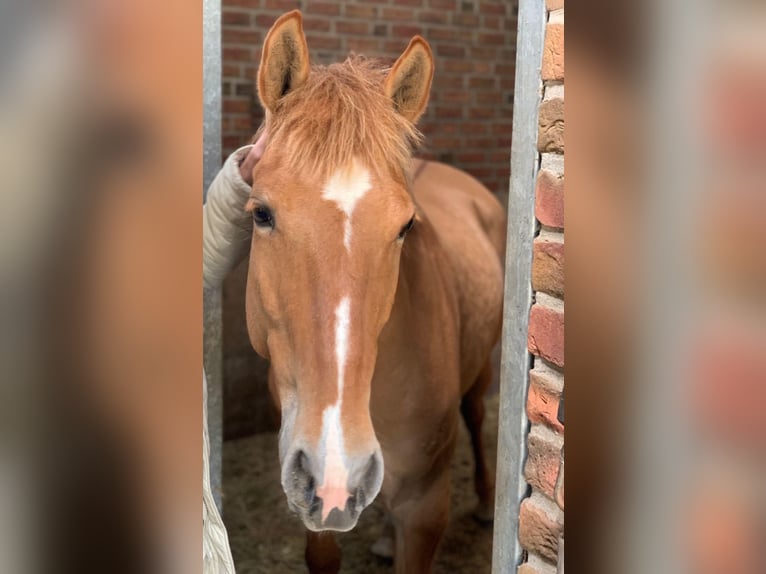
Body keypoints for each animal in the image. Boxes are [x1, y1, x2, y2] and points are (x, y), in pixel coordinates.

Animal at [246, 10, 508, 574]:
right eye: (261, 213)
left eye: (406, 225)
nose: (337, 469)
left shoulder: (426, 509)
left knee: (476, 414)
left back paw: (484, 501)